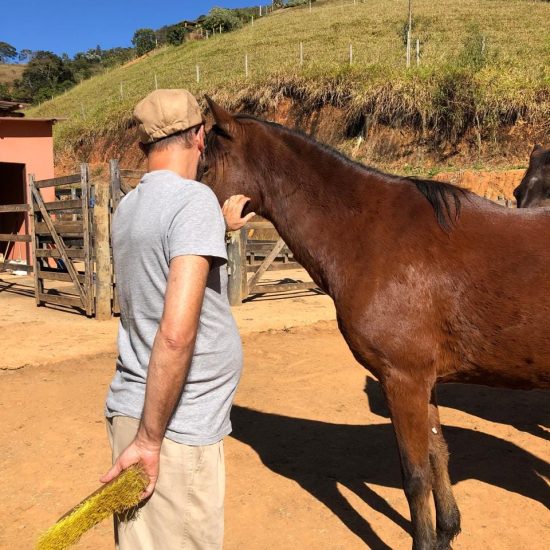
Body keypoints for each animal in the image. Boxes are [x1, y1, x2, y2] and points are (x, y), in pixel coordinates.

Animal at [203, 100, 550, 550]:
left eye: (205, 166)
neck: (371, 236)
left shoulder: (402, 379)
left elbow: (415, 476)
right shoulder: (422, 382)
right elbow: (438, 455)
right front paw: (447, 531)